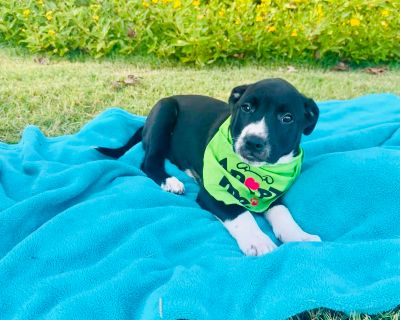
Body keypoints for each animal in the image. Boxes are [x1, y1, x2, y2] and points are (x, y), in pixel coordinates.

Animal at [97, 79, 322, 256]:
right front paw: (259, 241)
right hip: (165, 111)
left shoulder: (273, 194)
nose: (252, 142)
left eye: (287, 118)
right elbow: (240, 213)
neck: (254, 171)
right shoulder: (214, 193)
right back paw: (170, 181)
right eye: (246, 108)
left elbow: (283, 212)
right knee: (149, 161)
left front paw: (299, 236)